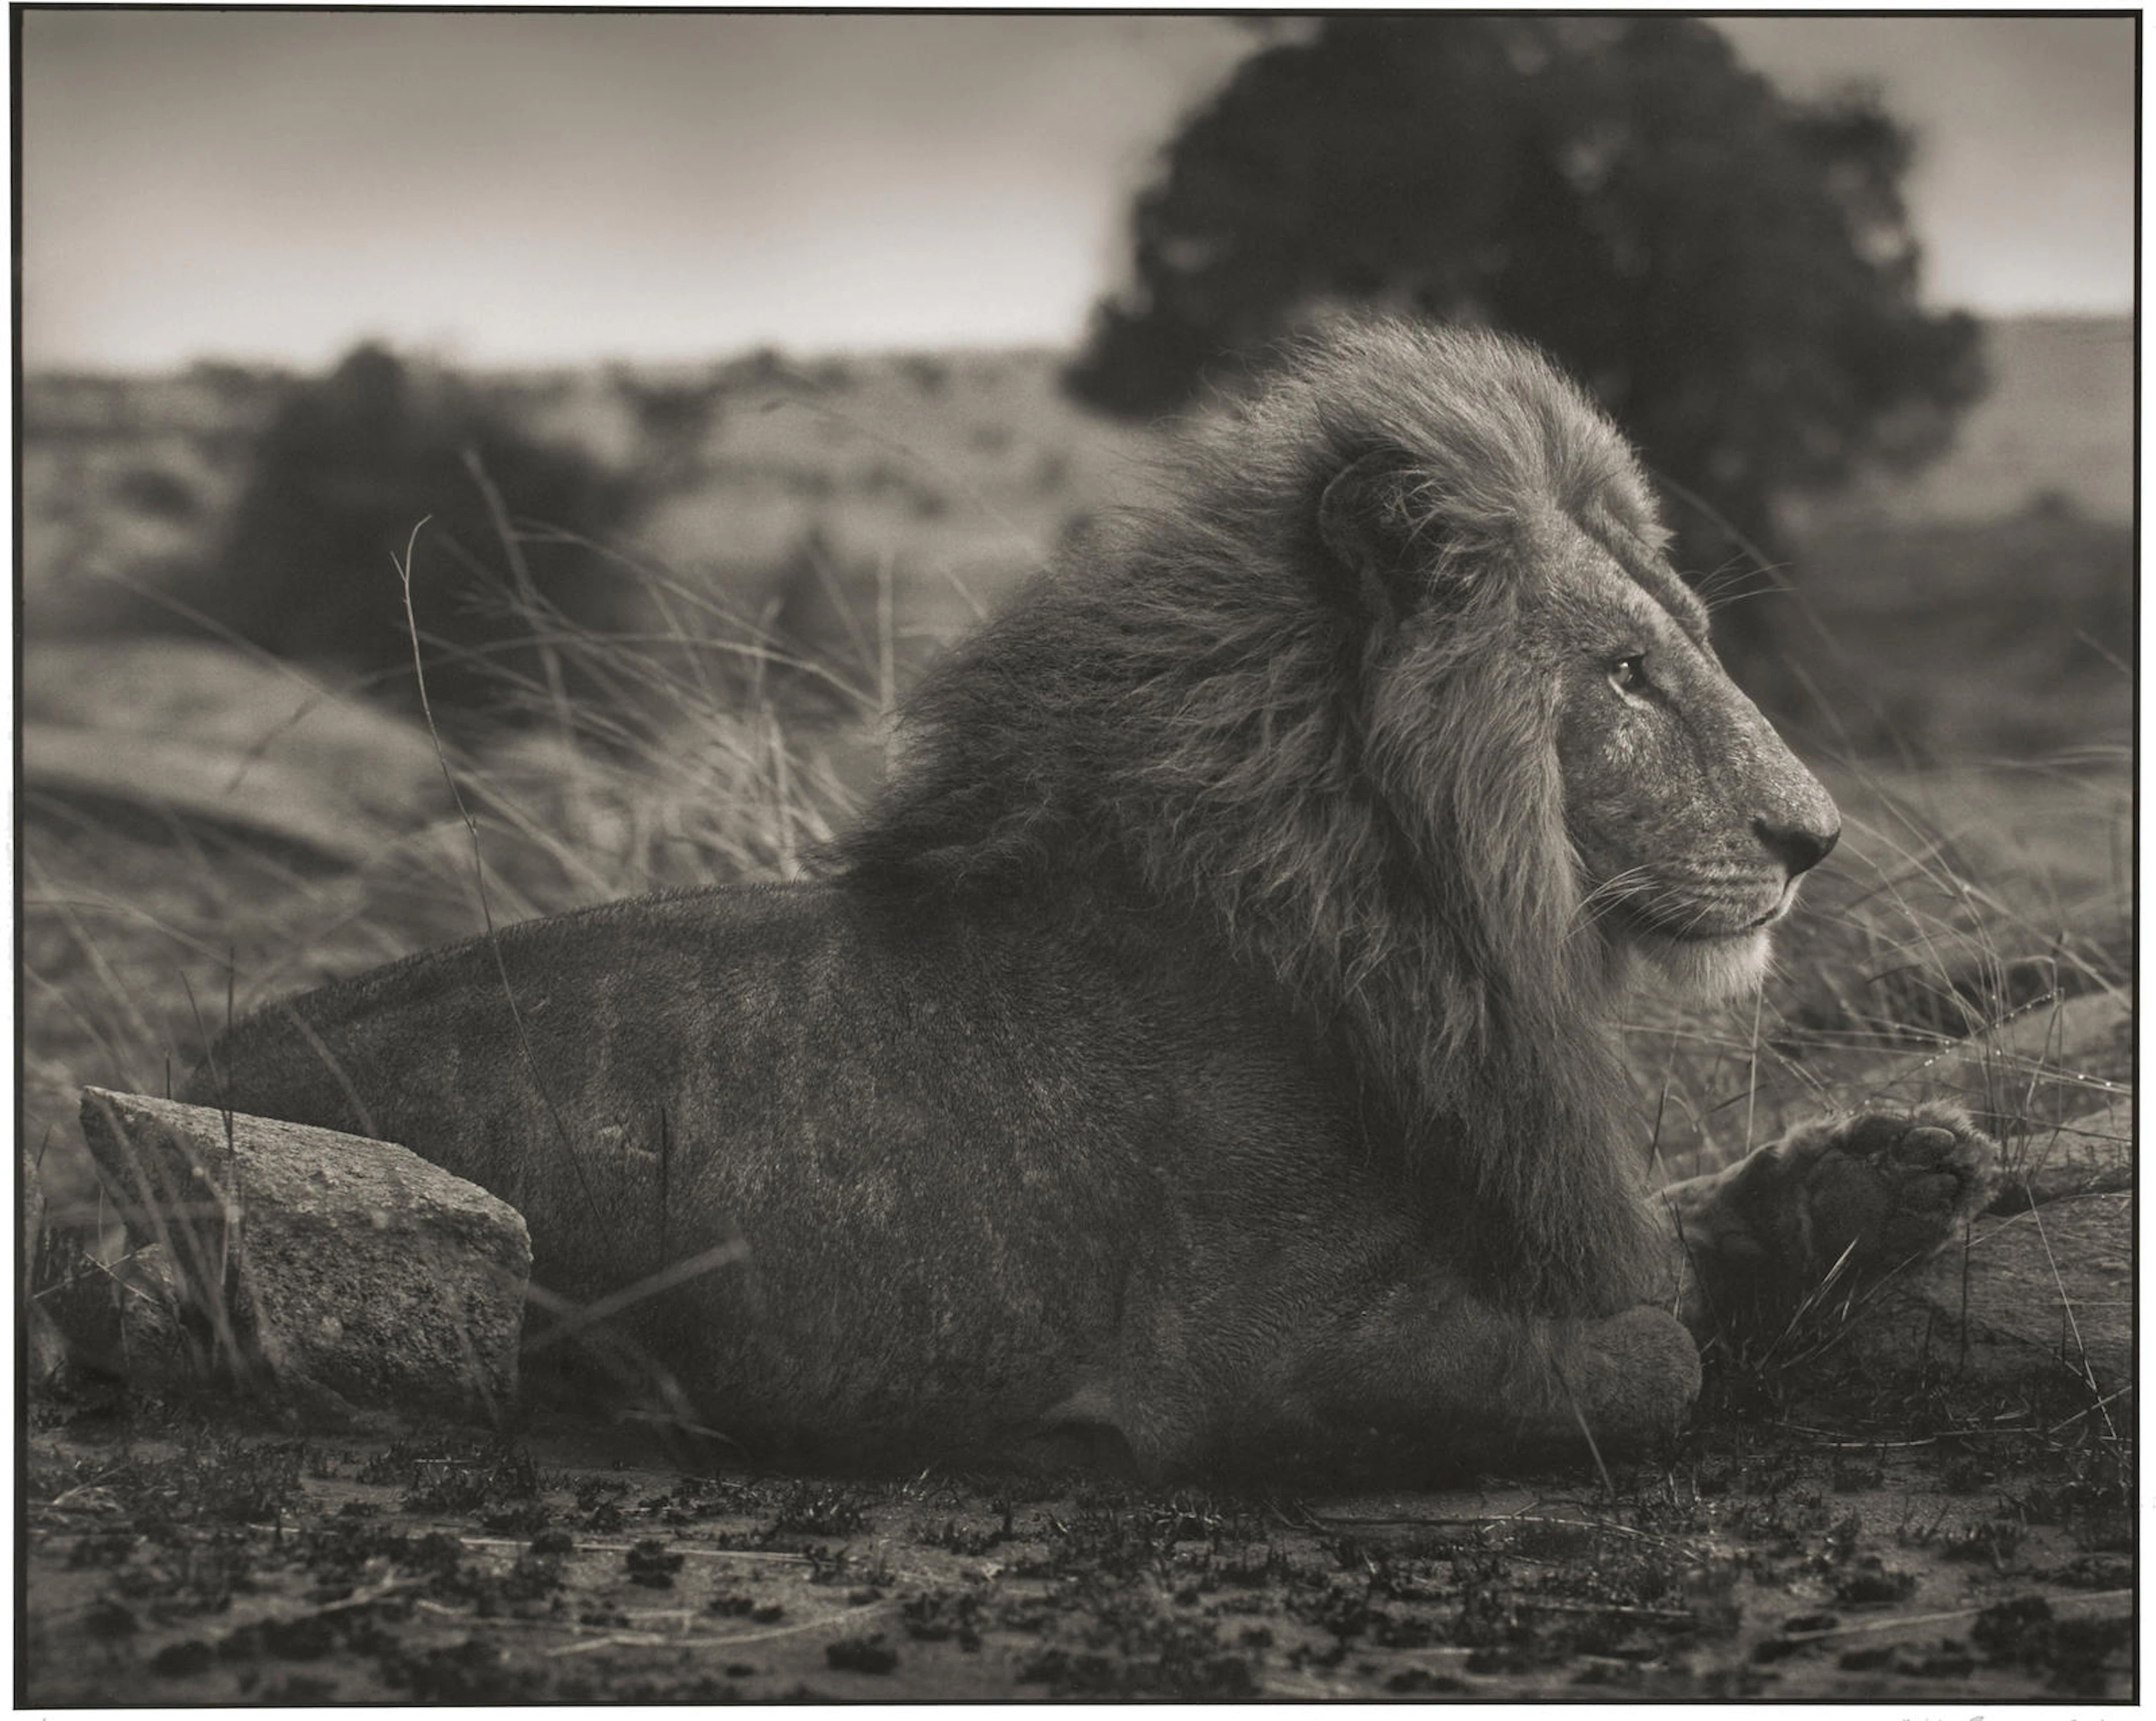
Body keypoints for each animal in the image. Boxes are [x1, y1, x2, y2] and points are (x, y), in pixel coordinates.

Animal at [185, 317, 1996, 1477]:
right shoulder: (1252, 1359)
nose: (1815, 837)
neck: (1428, 909)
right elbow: (1653, 1350)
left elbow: (1675, 1241)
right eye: (1621, 671)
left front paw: (1876, 1171)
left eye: (1682, 637)